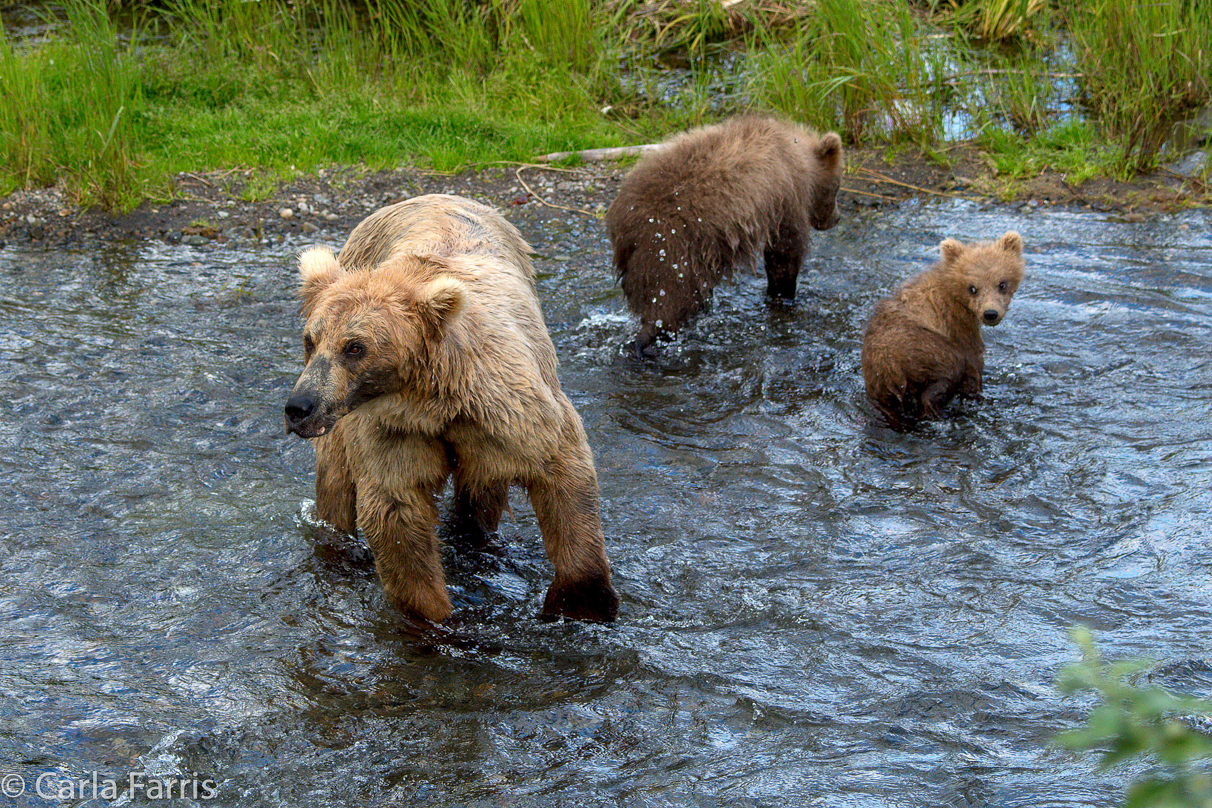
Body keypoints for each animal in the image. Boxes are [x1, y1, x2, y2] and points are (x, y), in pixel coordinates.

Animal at [286, 193, 615, 625]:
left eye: (354, 347)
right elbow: (397, 512)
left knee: (481, 492)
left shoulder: (507, 410)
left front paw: (582, 601)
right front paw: (435, 616)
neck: (432, 400)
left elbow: (561, 466)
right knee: (336, 483)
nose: (299, 407)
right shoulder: (391, 429)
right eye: (311, 340)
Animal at [603, 114, 843, 353]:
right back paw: (651, 338)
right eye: (838, 187)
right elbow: (785, 252)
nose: (837, 218)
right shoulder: (786, 199)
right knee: (669, 295)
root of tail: (621, 220)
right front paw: (784, 294)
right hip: (669, 243)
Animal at [862, 230, 1022, 426]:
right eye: (973, 288)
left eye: (1002, 283)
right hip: (925, 349)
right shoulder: (957, 324)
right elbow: (973, 363)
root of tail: (892, 367)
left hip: (878, 380)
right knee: (948, 371)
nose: (990, 313)